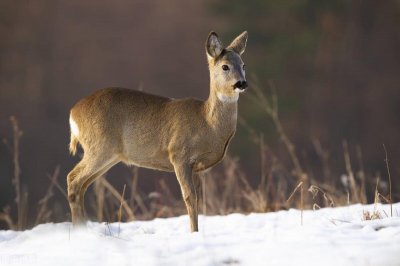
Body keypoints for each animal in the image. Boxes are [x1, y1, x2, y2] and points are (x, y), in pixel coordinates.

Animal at [66, 30, 247, 231]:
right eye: (225, 66)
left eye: (243, 64)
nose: (241, 83)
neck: (207, 123)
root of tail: (73, 113)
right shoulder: (179, 154)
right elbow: (189, 198)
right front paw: (194, 232)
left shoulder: (198, 167)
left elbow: (199, 200)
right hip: (99, 146)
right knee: (73, 179)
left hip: (109, 154)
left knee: (82, 185)